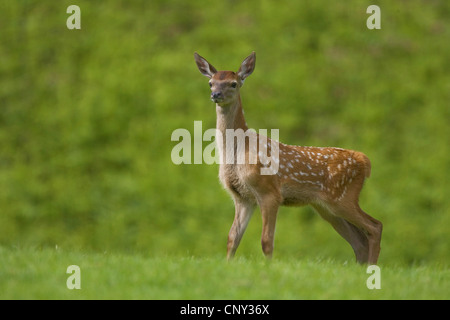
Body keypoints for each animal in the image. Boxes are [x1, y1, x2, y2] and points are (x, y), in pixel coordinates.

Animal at [194, 51, 384, 264]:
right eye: (211, 83)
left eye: (233, 83)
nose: (216, 95)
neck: (238, 152)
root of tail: (364, 160)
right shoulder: (243, 197)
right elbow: (232, 238)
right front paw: (228, 265)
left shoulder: (269, 192)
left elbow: (266, 241)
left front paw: (269, 267)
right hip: (326, 207)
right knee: (359, 241)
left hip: (343, 197)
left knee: (375, 226)